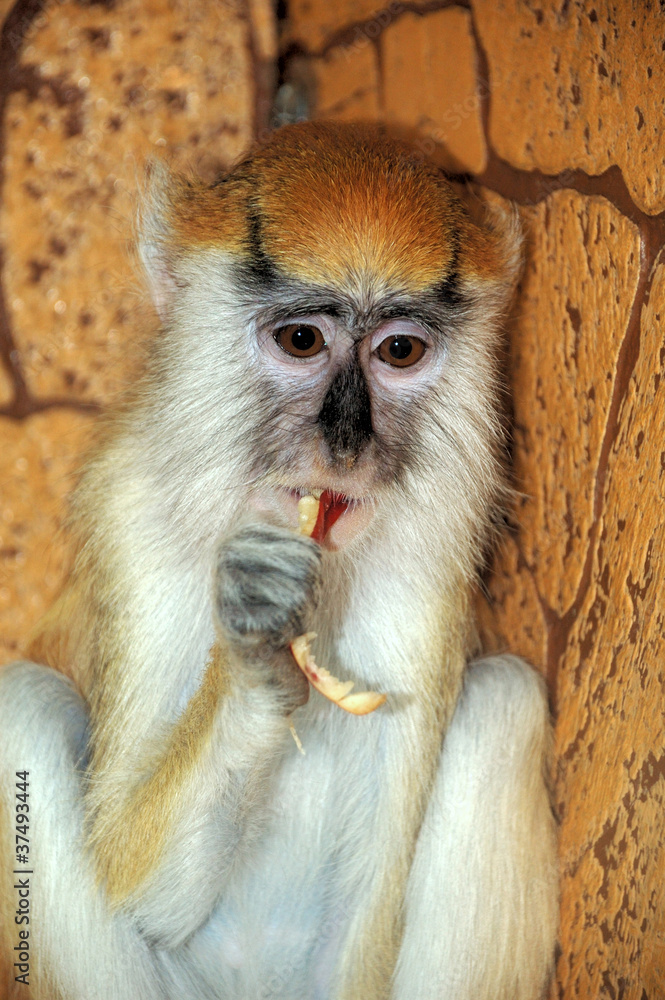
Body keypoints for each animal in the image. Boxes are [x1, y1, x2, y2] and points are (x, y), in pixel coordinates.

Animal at [0, 121, 557, 1000]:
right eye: (301, 339)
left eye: (400, 350)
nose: (345, 445)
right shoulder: (129, 514)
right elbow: (133, 878)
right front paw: (256, 643)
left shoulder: (429, 555)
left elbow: (368, 916)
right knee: (19, 706)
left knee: (501, 700)